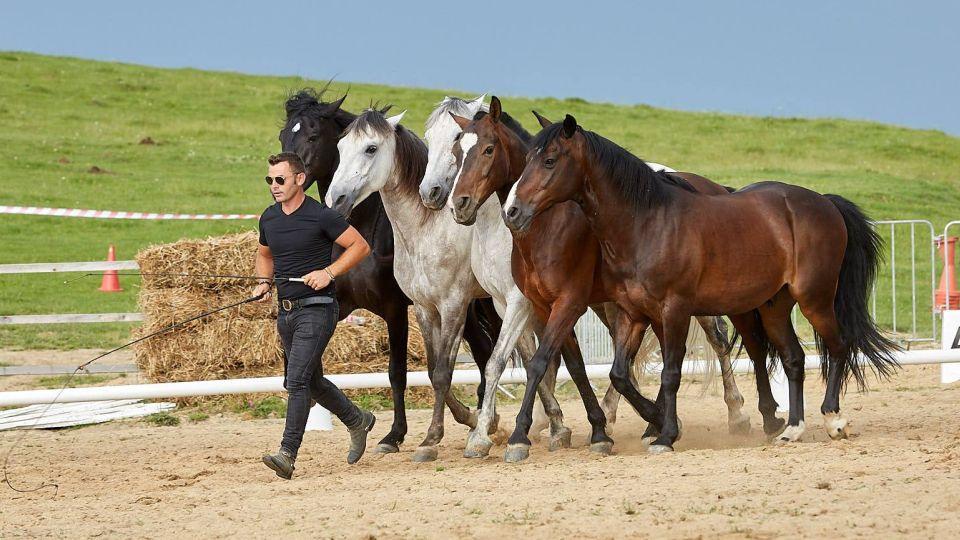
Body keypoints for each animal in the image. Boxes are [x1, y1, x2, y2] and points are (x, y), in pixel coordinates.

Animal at [278, 89, 503, 454]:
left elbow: (399, 372)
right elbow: (304, 368)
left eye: (313, 136)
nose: (336, 199)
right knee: (486, 351)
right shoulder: (339, 305)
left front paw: (394, 436)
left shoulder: (396, 309)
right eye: (283, 135)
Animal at [325, 107, 577, 462]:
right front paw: (471, 423)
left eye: (371, 148)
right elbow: (433, 370)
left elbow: (444, 371)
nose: (336, 199)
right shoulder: (423, 308)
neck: (424, 231)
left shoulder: (452, 305)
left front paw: (433, 439)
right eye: (340, 147)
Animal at [419, 96, 610, 459]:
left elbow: (503, 362)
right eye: (459, 151)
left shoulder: (528, 303)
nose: (458, 204)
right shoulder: (511, 304)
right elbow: (553, 362)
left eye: (489, 149)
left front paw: (487, 436)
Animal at [503, 113, 900, 453]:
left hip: (814, 298)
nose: (512, 211)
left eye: (550, 160)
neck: (646, 223)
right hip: (774, 306)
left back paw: (833, 420)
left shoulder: (674, 310)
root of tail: (824, 203)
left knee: (838, 346)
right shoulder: (634, 314)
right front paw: (656, 422)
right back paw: (791, 429)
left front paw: (665, 435)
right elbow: (619, 375)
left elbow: (670, 373)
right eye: (528, 159)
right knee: (793, 358)